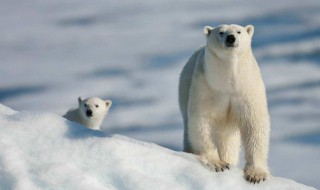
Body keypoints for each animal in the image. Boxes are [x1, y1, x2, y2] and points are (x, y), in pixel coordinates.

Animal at [180, 24, 270, 183]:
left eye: (239, 31)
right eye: (221, 32)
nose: (231, 38)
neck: (228, 83)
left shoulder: (247, 88)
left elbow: (254, 124)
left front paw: (256, 174)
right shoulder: (207, 86)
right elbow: (202, 120)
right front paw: (218, 163)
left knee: (228, 140)